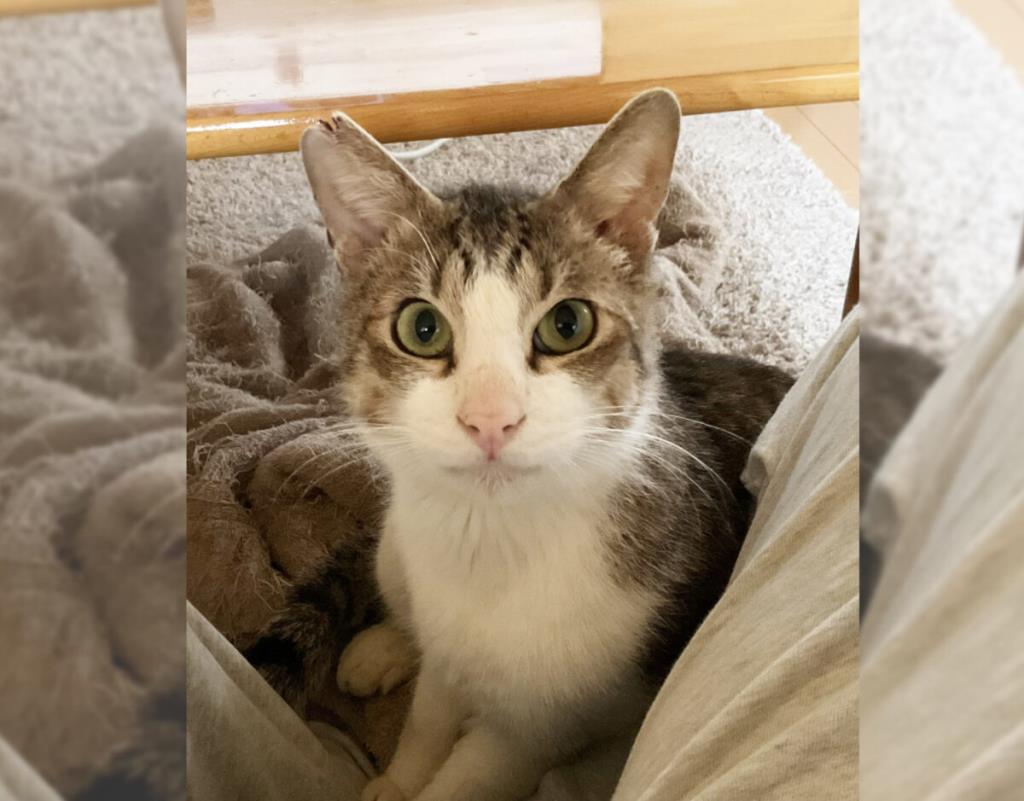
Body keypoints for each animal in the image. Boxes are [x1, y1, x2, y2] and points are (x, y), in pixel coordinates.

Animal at [247, 89, 793, 801]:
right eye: (421, 328)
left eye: (568, 323)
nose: (491, 419)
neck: (491, 543)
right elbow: (427, 721)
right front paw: (399, 777)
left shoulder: (539, 731)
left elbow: (469, 776)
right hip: (395, 552)